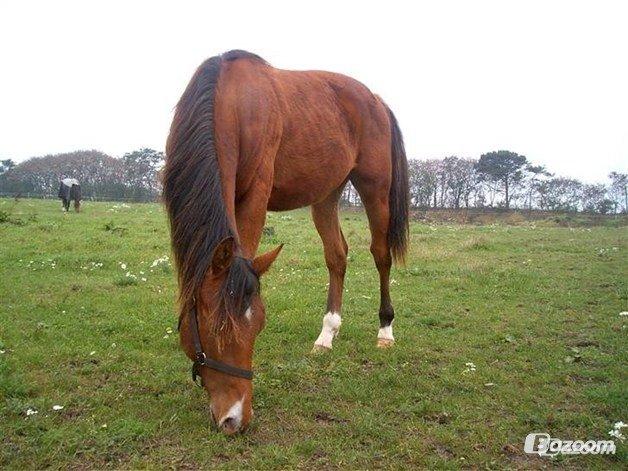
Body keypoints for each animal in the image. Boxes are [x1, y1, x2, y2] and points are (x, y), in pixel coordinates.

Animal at [162, 50, 410, 436]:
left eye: (258, 327)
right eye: (214, 330)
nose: (235, 418)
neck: (231, 100)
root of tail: (376, 100)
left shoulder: (255, 195)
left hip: (375, 187)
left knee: (381, 255)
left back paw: (385, 330)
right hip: (326, 194)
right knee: (337, 256)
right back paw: (327, 335)